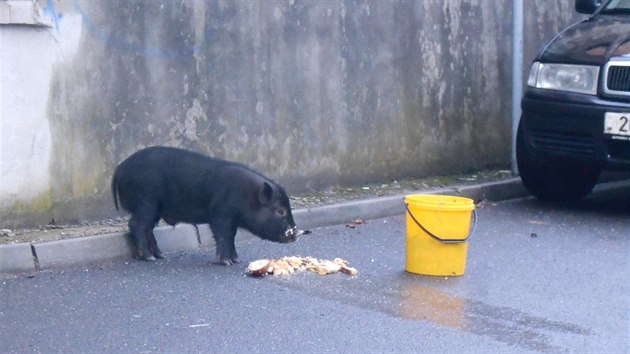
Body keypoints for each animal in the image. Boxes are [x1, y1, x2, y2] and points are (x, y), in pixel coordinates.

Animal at [112, 145, 304, 264]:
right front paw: (227, 262)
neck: (246, 196)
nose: (296, 234)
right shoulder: (220, 215)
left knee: (148, 228)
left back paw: (160, 255)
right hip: (145, 202)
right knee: (136, 225)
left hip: (155, 208)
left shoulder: (231, 220)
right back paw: (149, 258)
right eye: (280, 211)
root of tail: (120, 169)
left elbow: (232, 237)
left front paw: (237, 260)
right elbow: (224, 236)